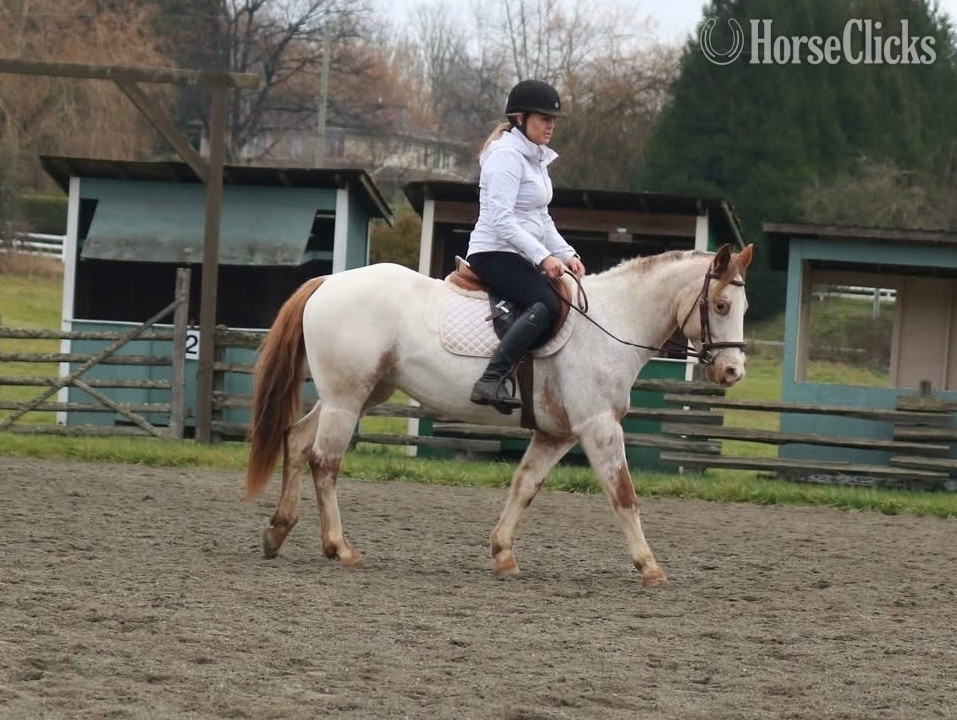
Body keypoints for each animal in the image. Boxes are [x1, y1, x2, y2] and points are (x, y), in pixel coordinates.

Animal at [244, 243, 753, 587]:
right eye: (721, 305)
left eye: (743, 307)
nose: (733, 371)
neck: (611, 324)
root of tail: (329, 282)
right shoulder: (599, 427)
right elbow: (623, 495)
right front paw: (650, 566)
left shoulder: (558, 434)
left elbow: (524, 486)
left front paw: (503, 554)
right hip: (347, 399)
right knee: (325, 462)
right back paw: (339, 547)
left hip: (357, 395)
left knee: (297, 441)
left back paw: (278, 531)